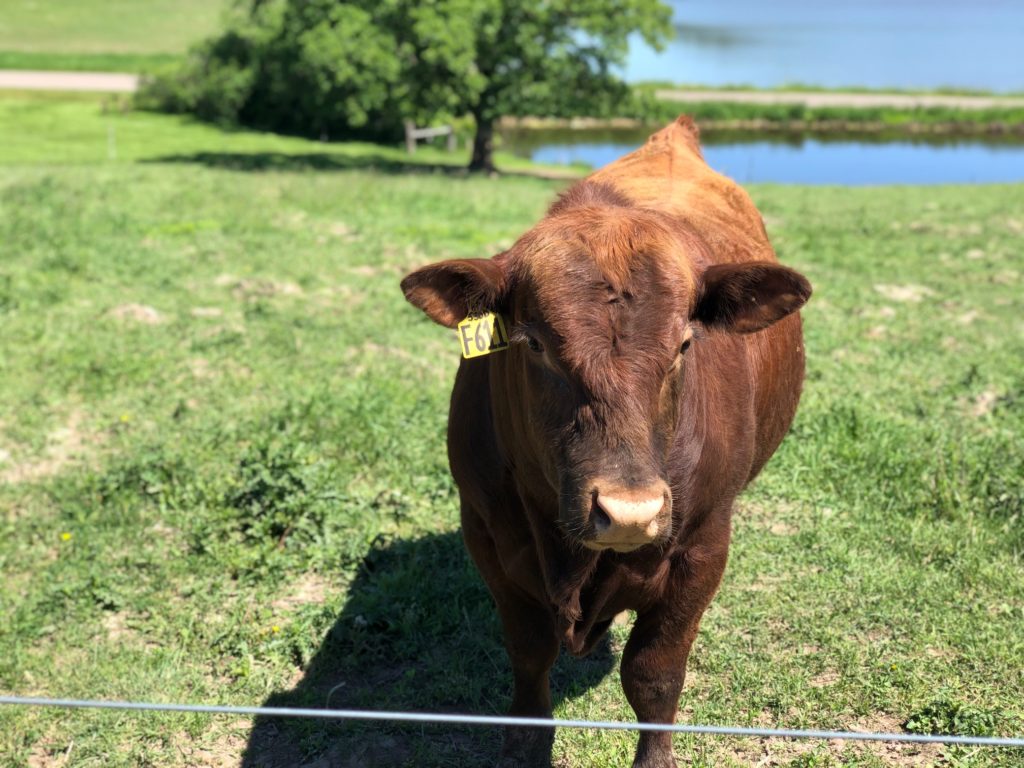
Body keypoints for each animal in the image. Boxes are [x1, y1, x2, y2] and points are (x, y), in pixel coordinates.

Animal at [399, 115, 806, 768]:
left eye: (684, 344)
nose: (630, 511)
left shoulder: (703, 547)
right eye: (534, 343)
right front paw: (524, 745)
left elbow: (654, 675)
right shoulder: (485, 532)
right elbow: (528, 653)